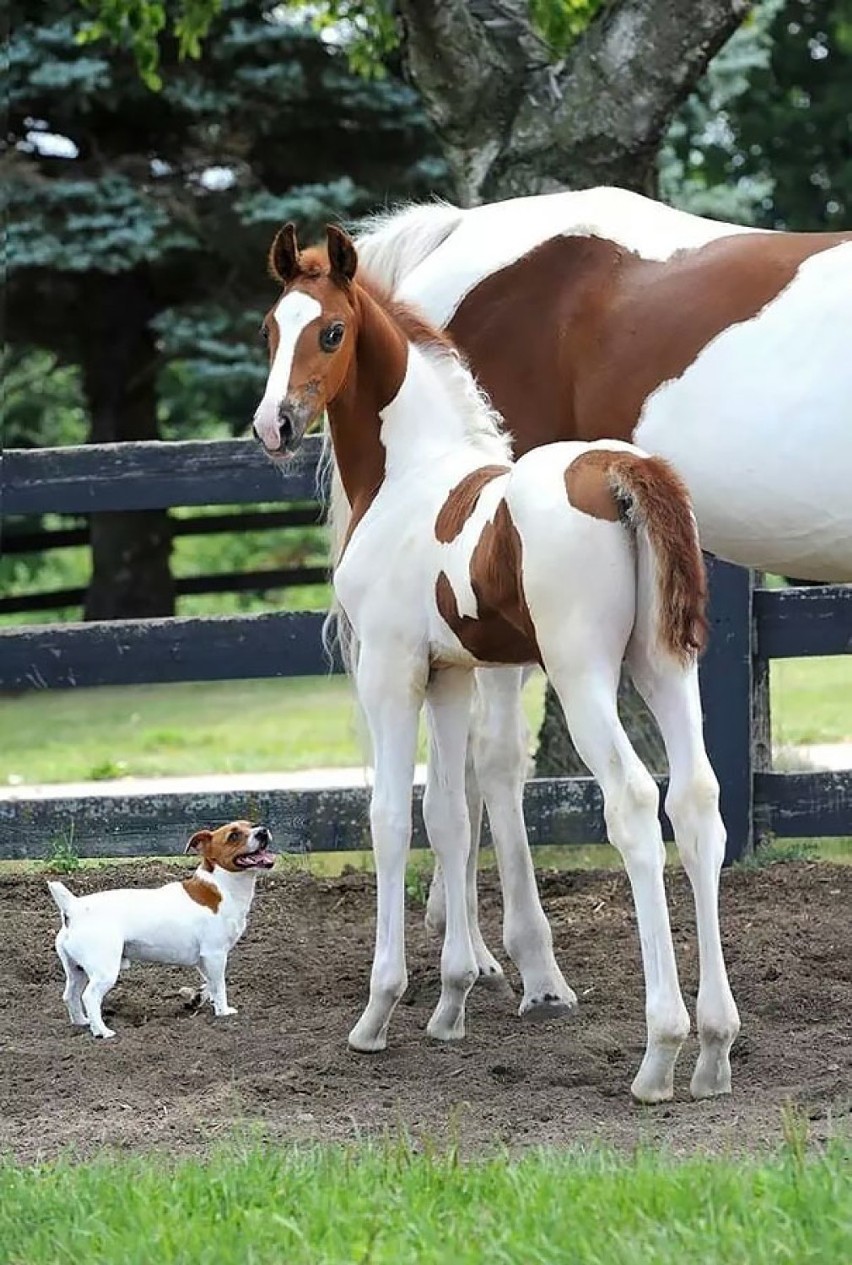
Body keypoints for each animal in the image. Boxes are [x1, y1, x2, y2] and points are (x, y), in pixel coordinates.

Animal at [47, 819, 271, 1037]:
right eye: (233, 835)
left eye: (252, 825)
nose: (263, 831)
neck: (221, 887)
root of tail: (73, 908)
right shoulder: (215, 954)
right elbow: (219, 986)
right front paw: (223, 1011)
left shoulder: (205, 959)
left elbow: (210, 985)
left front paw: (201, 999)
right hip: (105, 970)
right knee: (89, 996)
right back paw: (102, 1031)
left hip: (77, 970)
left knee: (70, 995)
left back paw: (82, 1022)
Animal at [252, 222, 738, 1103]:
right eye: (271, 329)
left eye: (331, 331)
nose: (273, 425)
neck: (411, 476)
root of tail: (623, 470)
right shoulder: (449, 674)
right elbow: (450, 814)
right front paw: (451, 1003)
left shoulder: (392, 671)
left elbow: (388, 815)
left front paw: (378, 1011)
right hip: (662, 668)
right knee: (695, 806)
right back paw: (715, 1049)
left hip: (583, 677)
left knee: (632, 805)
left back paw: (660, 1052)